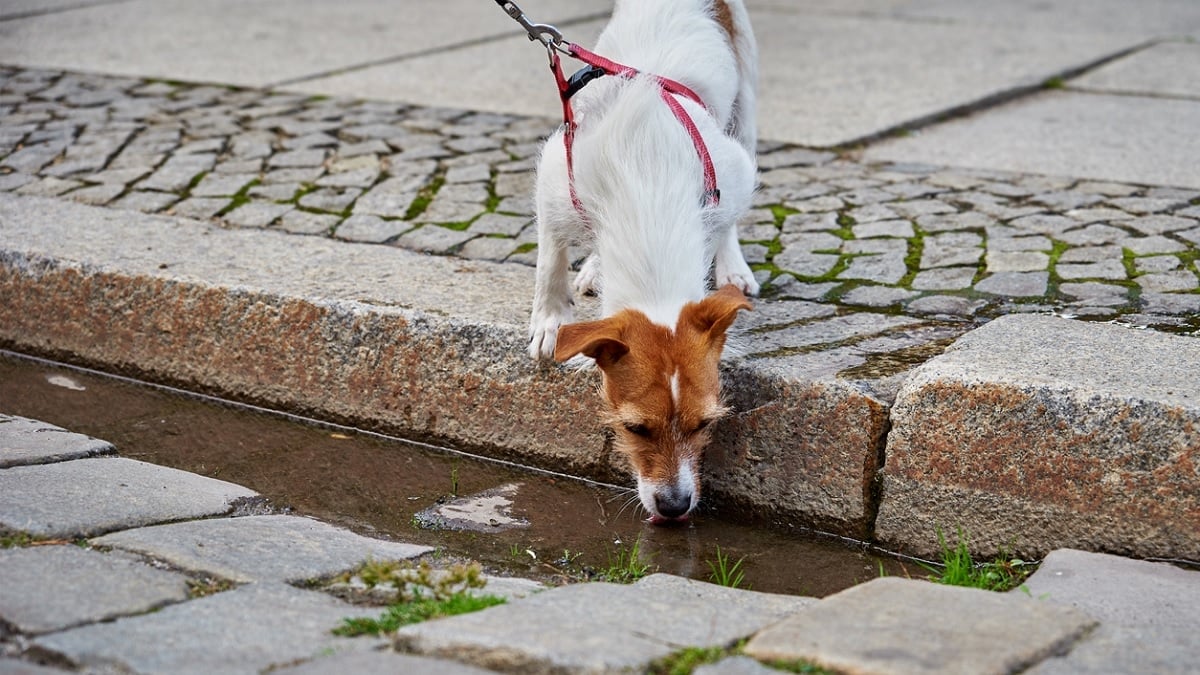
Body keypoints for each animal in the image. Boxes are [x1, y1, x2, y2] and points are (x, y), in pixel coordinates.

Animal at [528, 0, 758, 521]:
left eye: (703, 424)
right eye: (635, 428)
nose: (674, 506)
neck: (648, 180)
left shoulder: (732, 173)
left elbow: (722, 225)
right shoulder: (555, 179)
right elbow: (551, 255)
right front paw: (550, 320)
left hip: (746, 110)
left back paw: (732, 267)